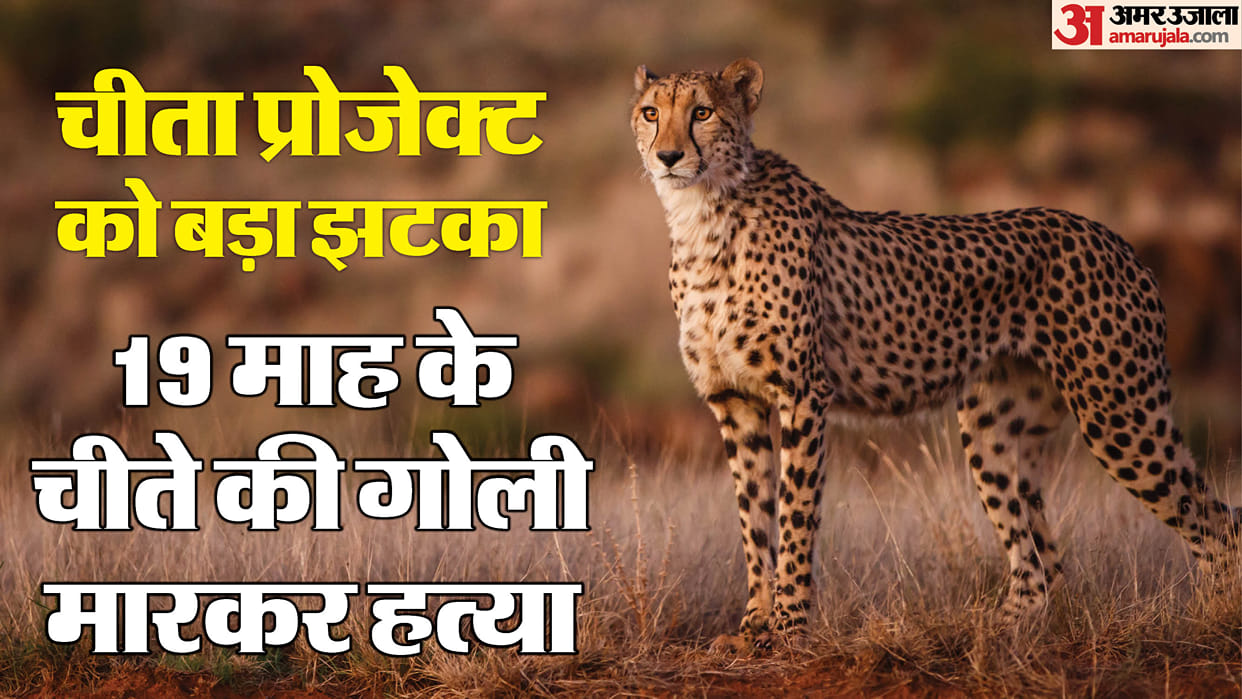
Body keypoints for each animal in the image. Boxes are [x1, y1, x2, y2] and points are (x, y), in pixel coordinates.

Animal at [630, 58, 1239, 650]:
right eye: (650, 112)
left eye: (702, 112)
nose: (668, 156)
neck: (702, 213)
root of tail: (1117, 239)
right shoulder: (734, 401)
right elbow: (754, 520)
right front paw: (753, 625)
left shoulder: (802, 395)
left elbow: (795, 516)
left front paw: (788, 630)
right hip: (994, 427)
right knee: (1040, 565)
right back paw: (1000, 632)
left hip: (1119, 414)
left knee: (1217, 523)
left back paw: (1215, 618)